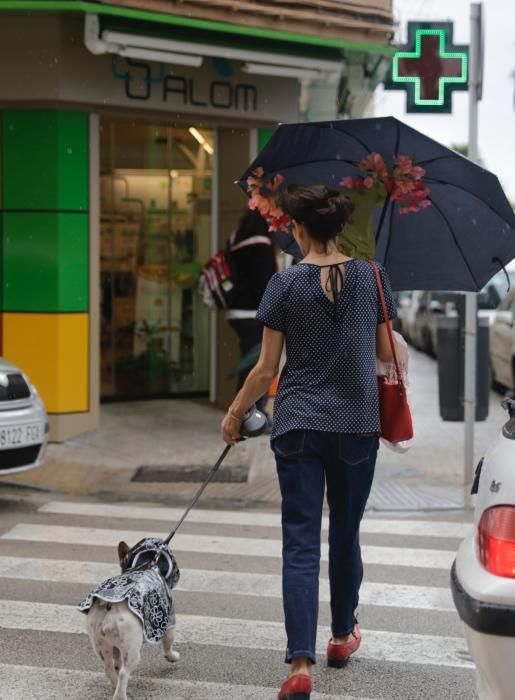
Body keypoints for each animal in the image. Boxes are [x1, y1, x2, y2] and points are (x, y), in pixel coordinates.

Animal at [77, 540, 180, 696]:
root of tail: (109, 604)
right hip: (132, 650)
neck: (145, 564)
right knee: (124, 673)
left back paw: (115, 685)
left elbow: (116, 660)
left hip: (100, 644)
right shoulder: (169, 624)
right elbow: (168, 644)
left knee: (108, 667)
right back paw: (120, 694)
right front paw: (172, 657)